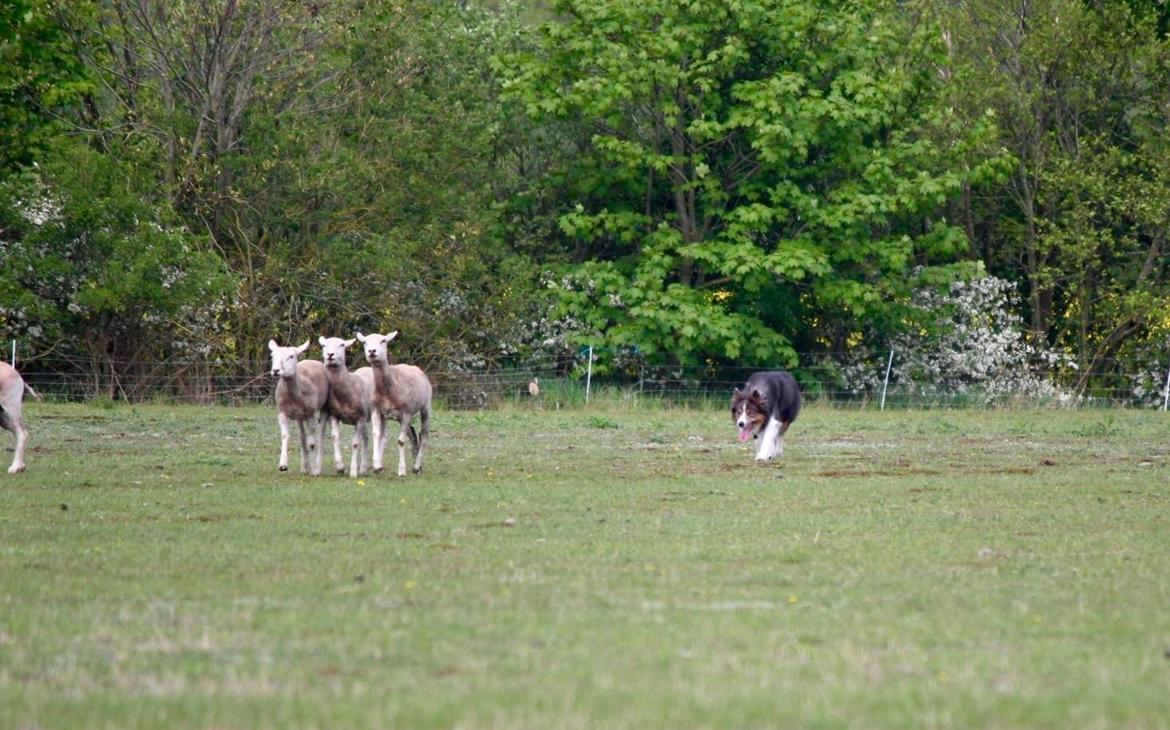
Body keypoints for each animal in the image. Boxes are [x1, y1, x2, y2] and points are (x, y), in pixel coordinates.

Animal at [267, 339, 332, 477]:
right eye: (272, 356)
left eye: (291, 356)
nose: (276, 371)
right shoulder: (282, 412)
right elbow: (285, 436)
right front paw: (283, 465)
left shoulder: (311, 414)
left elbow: (312, 443)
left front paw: (314, 470)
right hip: (299, 417)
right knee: (302, 437)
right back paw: (304, 466)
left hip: (323, 407)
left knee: (320, 435)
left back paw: (317, 466)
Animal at [318, 336, 372, 479]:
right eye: (323, 345)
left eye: (342, 345)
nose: (330, 355)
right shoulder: (334, 415)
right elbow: (335, 437)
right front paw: (340, 467)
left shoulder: (360, 417)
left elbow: (355, 443)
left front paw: (353, 472)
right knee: (366, 438)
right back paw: (363, 468)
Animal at [355, 332, 435, 479]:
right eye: (365, 342)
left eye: (383, 341)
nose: (372, 351)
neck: (388, 389)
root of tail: (416, 368)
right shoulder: (377, 410)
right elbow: (376, 434)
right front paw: (377, 466)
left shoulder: (406, 412)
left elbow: (400, 441)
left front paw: (402, 471)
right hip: (398, 417)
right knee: (413, 433)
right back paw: (416, 463)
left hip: (426, 406)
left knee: (424, 435)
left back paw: (417, 466)